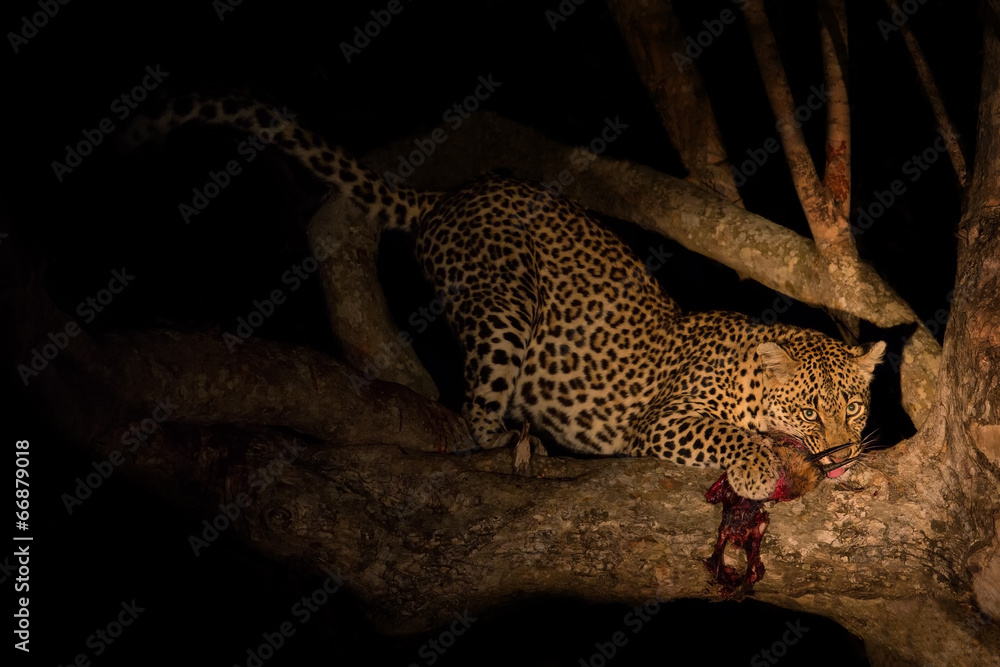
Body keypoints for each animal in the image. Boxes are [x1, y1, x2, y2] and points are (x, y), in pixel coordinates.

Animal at [122, 94, 886, 500]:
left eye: (852, 408)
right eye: (809, 412)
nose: (841, 455)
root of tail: (449, 198)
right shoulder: (660, 419)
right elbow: (724, 432)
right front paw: (756, 462)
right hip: (500, 314)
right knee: (474, 418)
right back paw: (512, 445)